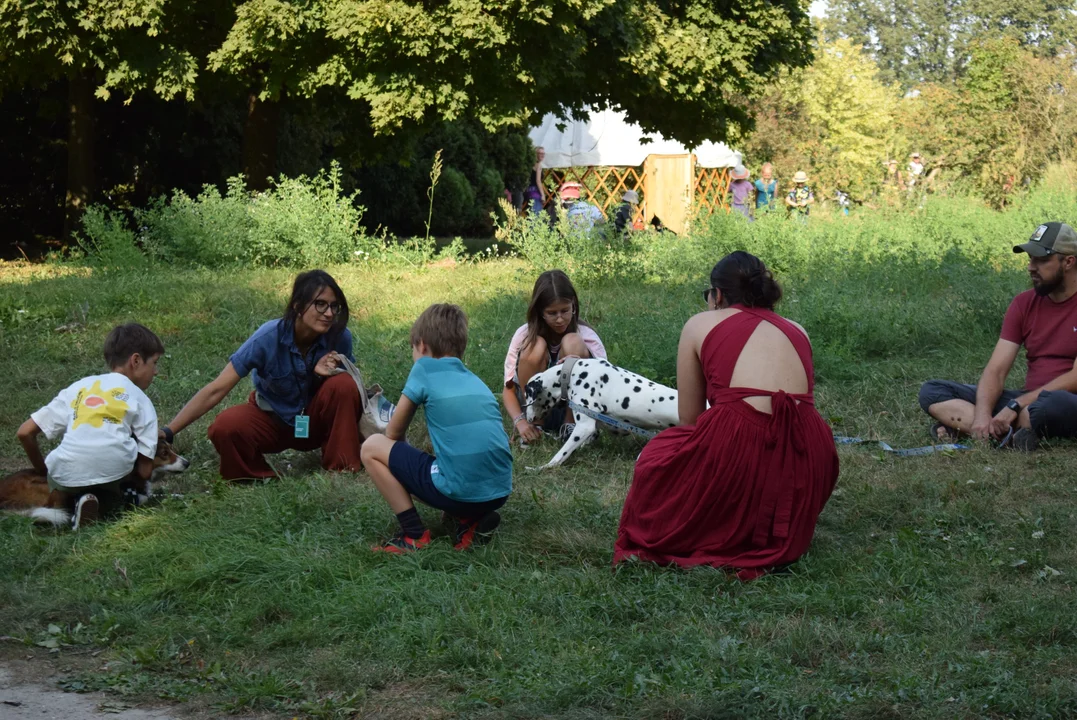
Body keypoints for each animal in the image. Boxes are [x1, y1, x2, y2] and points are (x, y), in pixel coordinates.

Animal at [523, 357, 680, 469]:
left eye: (526, 397)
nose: (527, 418)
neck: (573, 374)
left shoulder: (584, 427)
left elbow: (561, 454)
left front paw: (544, 467)